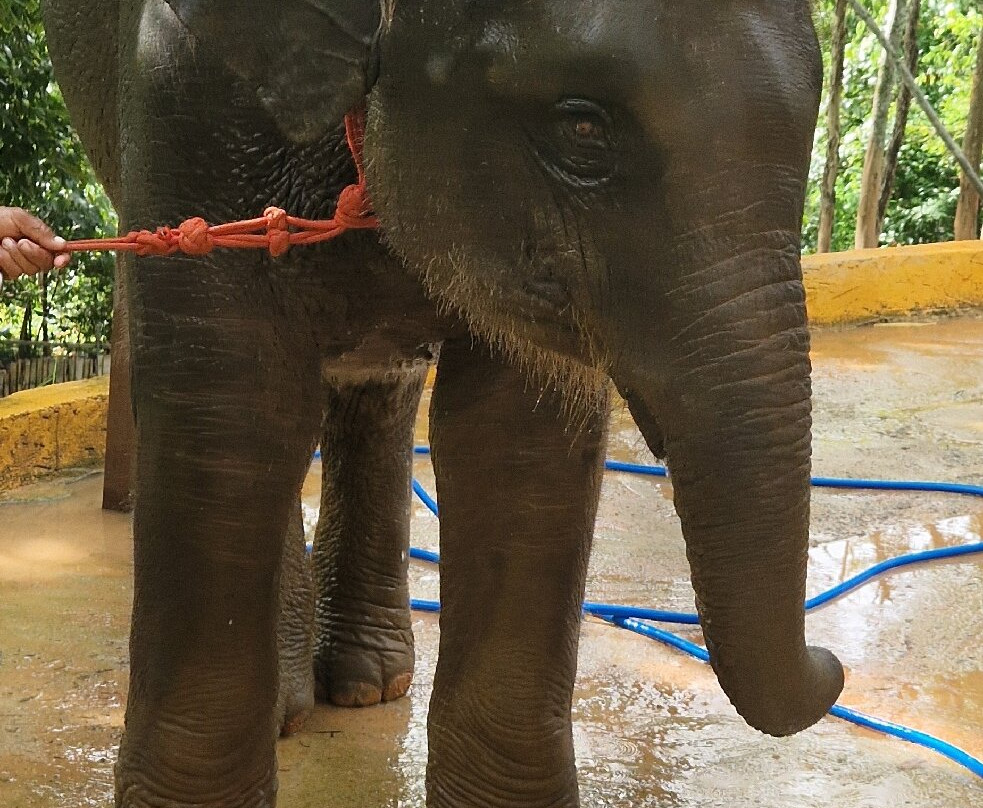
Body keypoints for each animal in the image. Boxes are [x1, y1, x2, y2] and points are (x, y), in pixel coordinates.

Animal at [42, 1, 845, 806]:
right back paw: (296, 704)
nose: (834, 666)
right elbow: (229, 405)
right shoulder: (182, 92)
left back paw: (365, 683)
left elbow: (514, 439)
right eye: (583, 126)